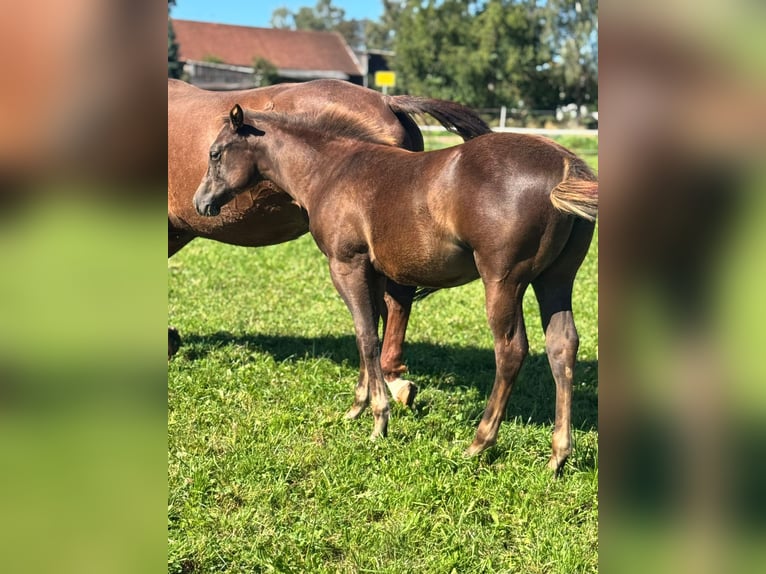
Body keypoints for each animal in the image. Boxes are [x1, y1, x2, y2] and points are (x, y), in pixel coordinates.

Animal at [193, 104, 597, 472]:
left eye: (215, 153)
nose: (201, 202)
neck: (330, 171)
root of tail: (565, 164)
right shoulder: (371, 272)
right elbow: (368, 332)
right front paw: (356, 407)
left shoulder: (347, 265)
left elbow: (367, 336)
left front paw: (378, 420)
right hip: (555, 280)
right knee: (562, 346)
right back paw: (558, 456)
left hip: (503, 281)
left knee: (511, 351)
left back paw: (479, 442)